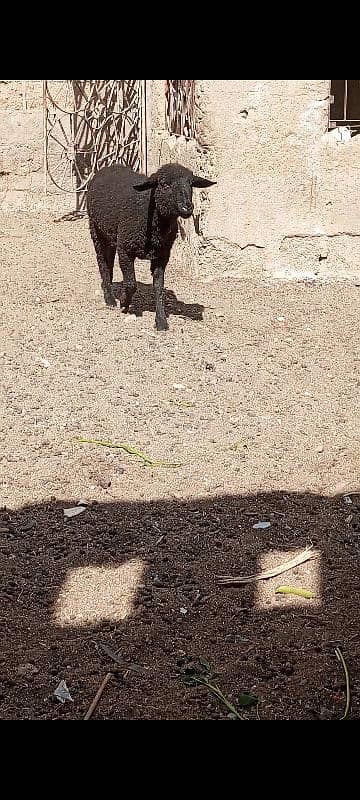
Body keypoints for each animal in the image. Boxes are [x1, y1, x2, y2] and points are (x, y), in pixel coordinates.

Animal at [86, 161, 217, 330]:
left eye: (191, 184)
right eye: (164, 184)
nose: (187, 208)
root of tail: (109, 167)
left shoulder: (162, 256)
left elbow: (158, 287)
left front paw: (161, 321)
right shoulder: (125, 249)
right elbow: (131, 284)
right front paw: (124, 302)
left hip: (111, 234)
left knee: (108, 262)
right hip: (96, 230)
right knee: (102, 262)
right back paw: (110, 299)